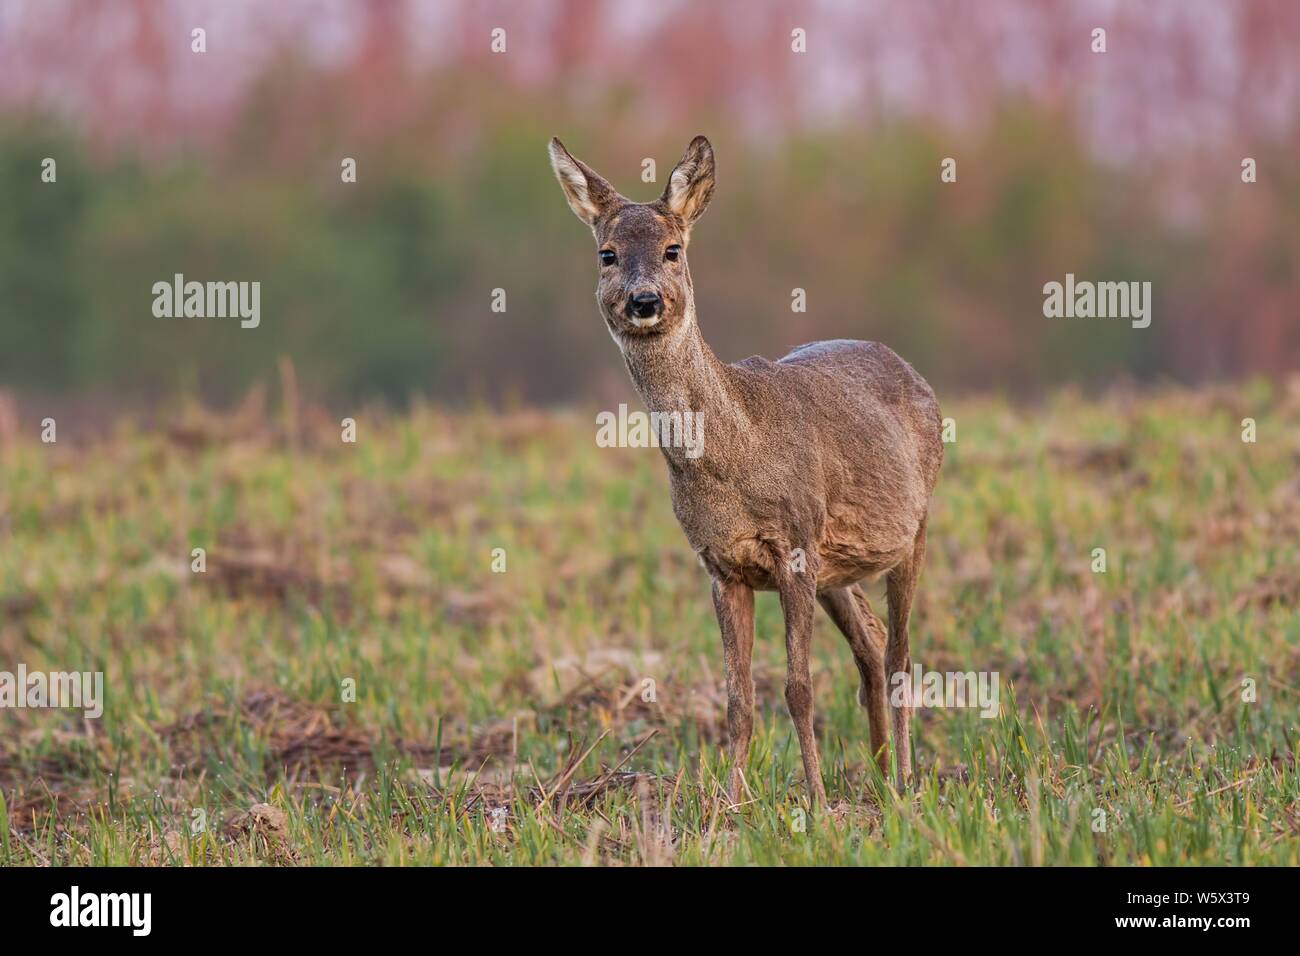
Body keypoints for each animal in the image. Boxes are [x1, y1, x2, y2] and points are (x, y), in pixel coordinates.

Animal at [548, 136, 946, 806]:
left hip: (912, 529)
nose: (644, 300)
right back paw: (876, 773)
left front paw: (815, 801)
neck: (734, 454)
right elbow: (738, 701)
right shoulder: (721, 564)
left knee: (899, 655)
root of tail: (915, 373)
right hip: (838, 566)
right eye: (607, 253)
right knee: (869, 647)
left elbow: (798, 688)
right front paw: (733, 804)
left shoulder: (795, 545)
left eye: (673, 249)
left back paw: (904, 781)